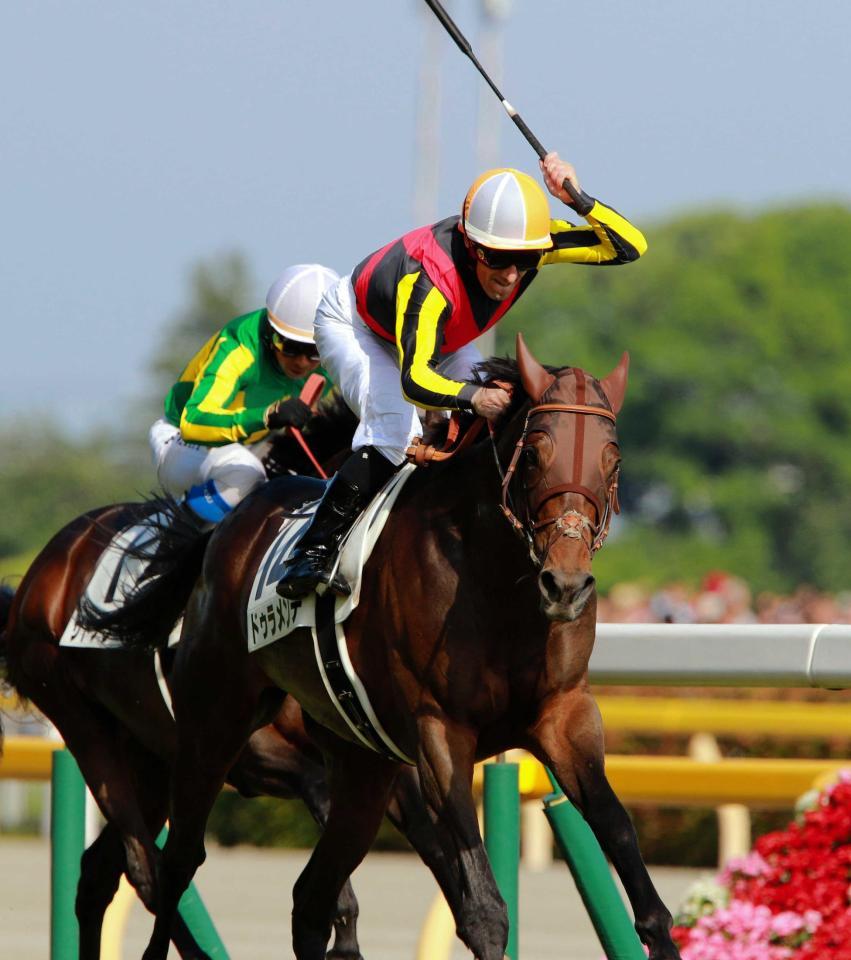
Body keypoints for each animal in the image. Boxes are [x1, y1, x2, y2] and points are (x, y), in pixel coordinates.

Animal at [1, 404, 460, 960]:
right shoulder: (272, 759)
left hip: (152, 758)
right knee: (144, 866)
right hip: (84, 726)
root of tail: (42, 571)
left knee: (100, 873)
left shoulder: (375, 751)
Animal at [90, 338, 684, 960]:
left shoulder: (564, 716)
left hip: (359, 765)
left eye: (612, 461)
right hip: (213, 724)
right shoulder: (439, 734)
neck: (497, 583)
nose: (566, 585)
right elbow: (482, 908)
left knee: (310, 895)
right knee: (179, 861)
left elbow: (628, 854)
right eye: (534, 456)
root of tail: (227, 528)